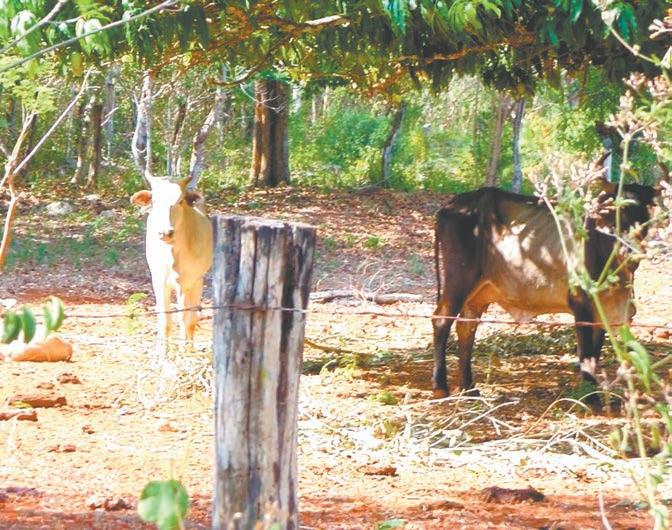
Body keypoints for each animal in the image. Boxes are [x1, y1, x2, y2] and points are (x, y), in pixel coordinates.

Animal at [131, 175, 213, 346]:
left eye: (180, 200)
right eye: (155, 201)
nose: (165, 232)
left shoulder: (189, 282)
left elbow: (186, 321)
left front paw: (185, 350)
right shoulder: (159, 281)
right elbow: (165, 321)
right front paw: (161, 351)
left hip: (195, 284)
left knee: (189, 319)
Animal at [432, 182, 657, 398]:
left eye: (645, 216)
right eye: (617, 213)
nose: (631, 251)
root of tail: (449, 206)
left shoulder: (602, 312)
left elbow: (595, 351)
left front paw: (593, 390)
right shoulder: (581, 304)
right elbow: (586, 354)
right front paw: (590, 397)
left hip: (478, 294)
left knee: (466, 328)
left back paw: (469, 388)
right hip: (459, 280)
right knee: (441, 320)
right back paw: (440, 386)